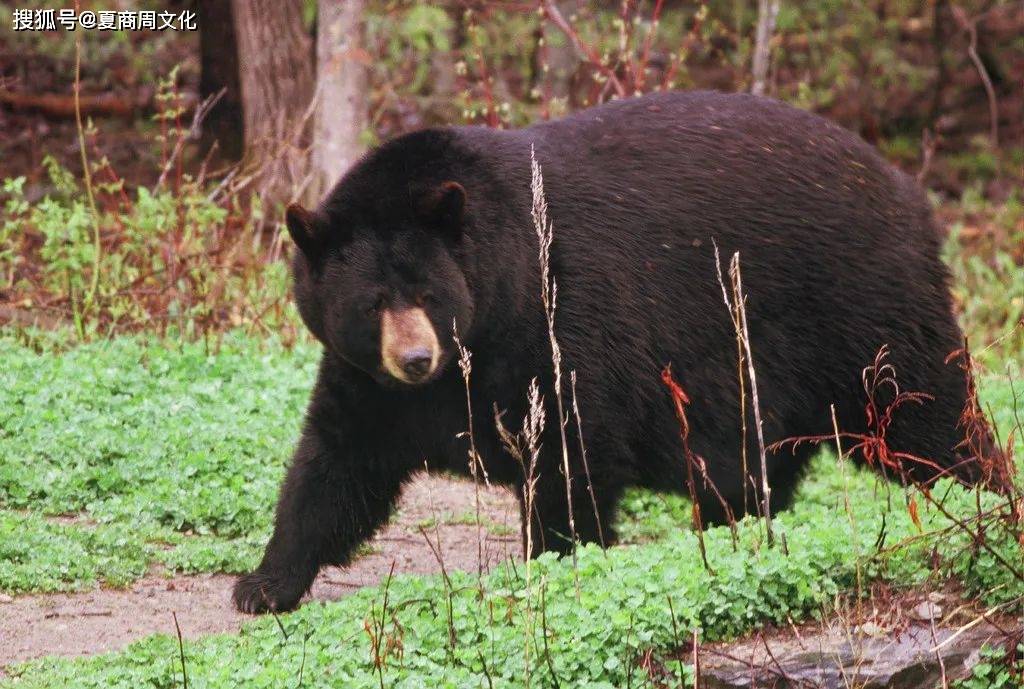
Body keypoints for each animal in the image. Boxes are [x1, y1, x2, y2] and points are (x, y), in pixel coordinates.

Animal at [232, 91, 991, 614]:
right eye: (372, 303)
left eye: (426, 291)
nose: (417, 358)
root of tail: (907, 190)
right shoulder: (368, 382)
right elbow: (334, 465)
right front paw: (263, 582)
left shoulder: (559, 323)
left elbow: (572, 449)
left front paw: (549, 559)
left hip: (860, 308)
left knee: (926, 412)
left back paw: (983, 493)